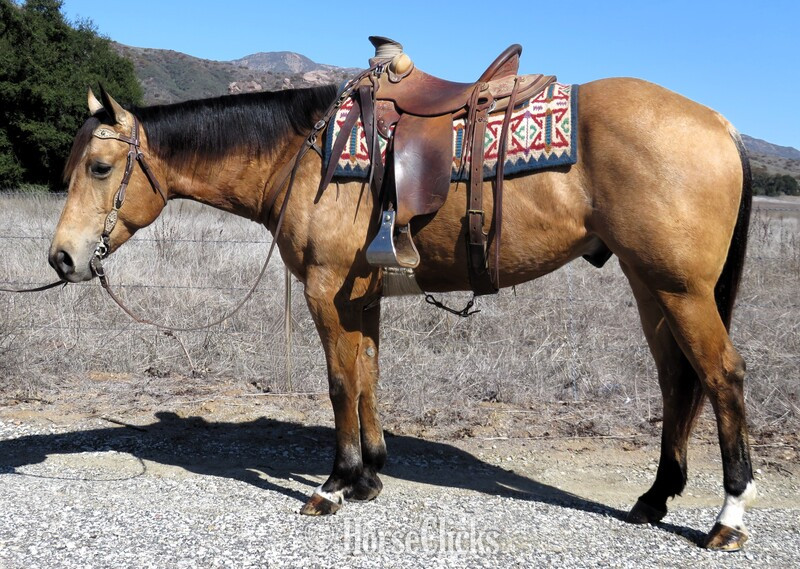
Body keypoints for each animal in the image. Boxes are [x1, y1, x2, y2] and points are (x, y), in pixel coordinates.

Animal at [48, 67, 754, 550]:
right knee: (677, 380)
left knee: (722, 377)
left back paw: (728, 518)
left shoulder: (325, 290)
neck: (305, 156)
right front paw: (371, 475)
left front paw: (335, 485)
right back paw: (655, 497)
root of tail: (721, 122)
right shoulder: (361, 295)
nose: (61, 258)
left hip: (680, 289)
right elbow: (368, 376)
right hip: (650, 285)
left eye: (101, 166)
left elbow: (340, 382)